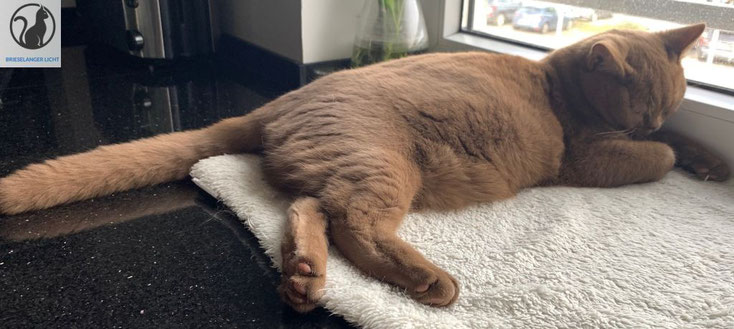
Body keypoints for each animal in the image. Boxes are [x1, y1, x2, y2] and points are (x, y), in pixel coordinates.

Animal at [0, 23, 732, 310]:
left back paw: (303, 276)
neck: (556, 82)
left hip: (357, 169)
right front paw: (678, 156)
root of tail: (277, 102)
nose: (650, 121)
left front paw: (712, 161)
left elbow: (684, 147)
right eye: (642, 103)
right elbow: (660, 158)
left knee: (306, 208)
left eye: (669, 101)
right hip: (384, 162)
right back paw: (430, 280)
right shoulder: (588, 154)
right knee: (353, 219)